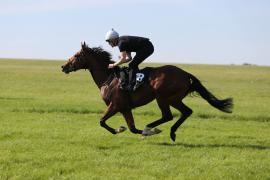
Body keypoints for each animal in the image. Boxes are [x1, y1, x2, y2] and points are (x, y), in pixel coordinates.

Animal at [61, 43, 232, 141]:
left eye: (76, 55)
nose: (63, 66)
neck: (108, 78)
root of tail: (185, 73)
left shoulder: (115, 105)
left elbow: (102, 121)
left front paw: (125, 130)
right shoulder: (125, 108)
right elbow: (131, 127)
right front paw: (124, 129)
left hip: (162, 97)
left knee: (168, 116)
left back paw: (150, 128)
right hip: (174, 99)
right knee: (186, 112)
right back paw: (171, 132)